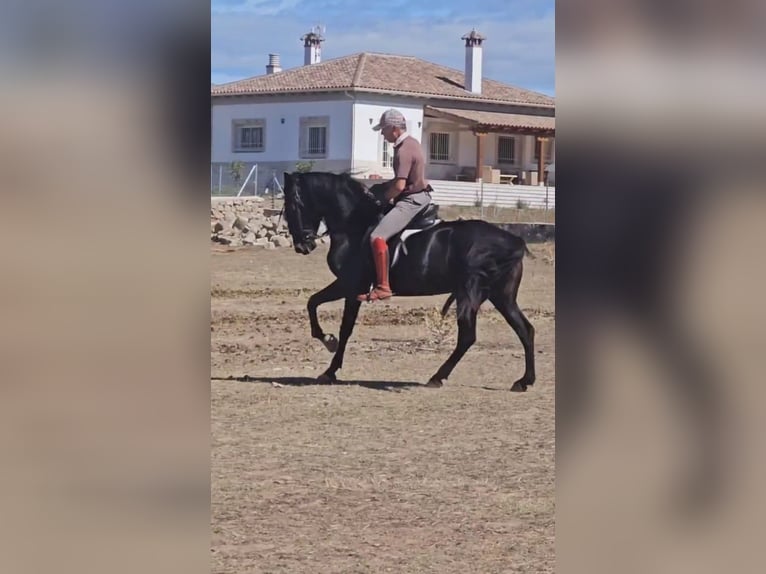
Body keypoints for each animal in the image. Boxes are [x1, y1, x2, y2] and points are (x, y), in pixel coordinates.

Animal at [284, 172, 540, 392]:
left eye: (292, 206)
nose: (302, 245)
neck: (354, 225)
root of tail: (514, 241)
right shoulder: (347, 286)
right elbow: (313, 303)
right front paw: (328, 345)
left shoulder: (351, 286)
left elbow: (339, 323)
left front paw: (330, 358)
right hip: (501, 297)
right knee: (525, 330)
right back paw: (524, 381)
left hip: (470, 294)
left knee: (468, 336)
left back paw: (437, 377)